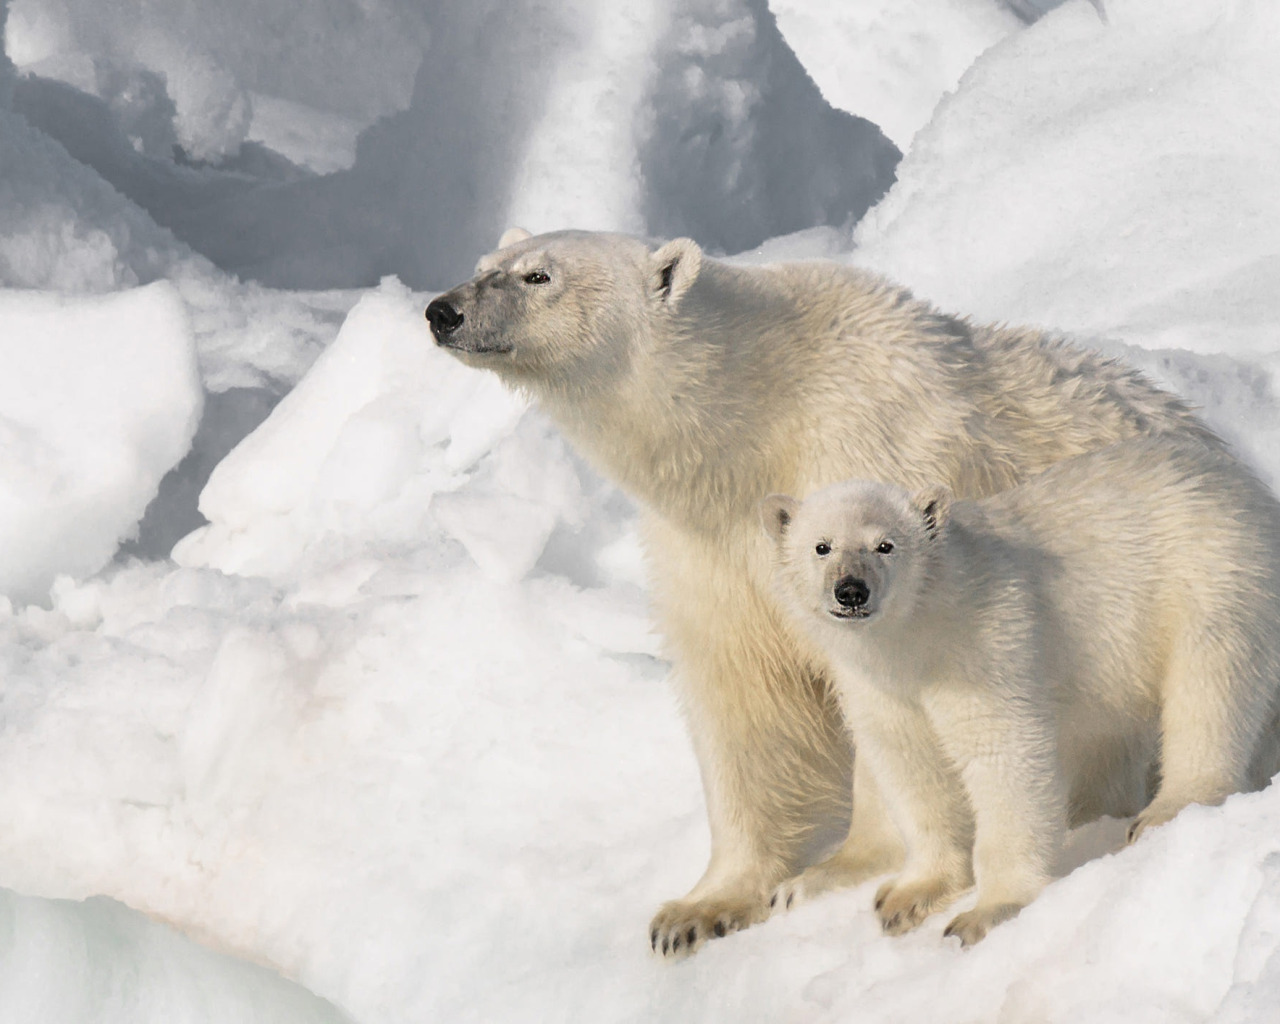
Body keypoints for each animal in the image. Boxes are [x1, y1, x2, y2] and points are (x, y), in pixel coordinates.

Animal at [427, 230, 1218, 962]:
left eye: (539, 275)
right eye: (485, 262)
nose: (443, 310)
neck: (757, 419)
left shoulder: (870, 470)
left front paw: (829, 876)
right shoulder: (712, 552)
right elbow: (743, 700)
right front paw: (696, 909)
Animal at [757, 437, 1280, 942]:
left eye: (886, 545)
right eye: (821, 547)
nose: (851, 590)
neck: (920, 632)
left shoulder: (986, 643)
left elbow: (1003, 756)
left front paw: (983, 914)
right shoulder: (879, 686)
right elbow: (913, 767)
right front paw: (908, 898)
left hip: (1212, 577)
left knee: (1209, 691)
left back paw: (1168, 807)